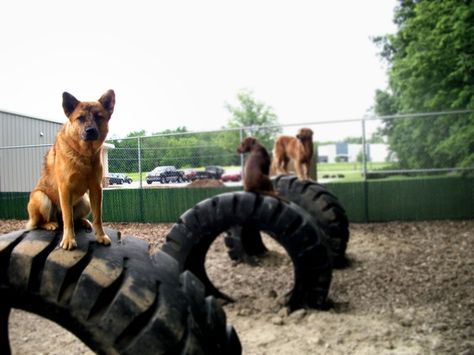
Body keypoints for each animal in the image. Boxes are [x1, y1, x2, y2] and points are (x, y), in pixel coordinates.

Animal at [26, 89, 115, 250]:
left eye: (99, 117)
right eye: (80, 118)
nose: (90, 130)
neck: (83, 155)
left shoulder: (95, 189)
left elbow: (98, 217)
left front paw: (101, 236)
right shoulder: (65, 188)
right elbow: (68, 219)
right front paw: (68, 240)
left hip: (85, 201)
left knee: (76, 219)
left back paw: (84, 222)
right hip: (42, 198)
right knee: (40, 223)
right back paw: (50, 224)